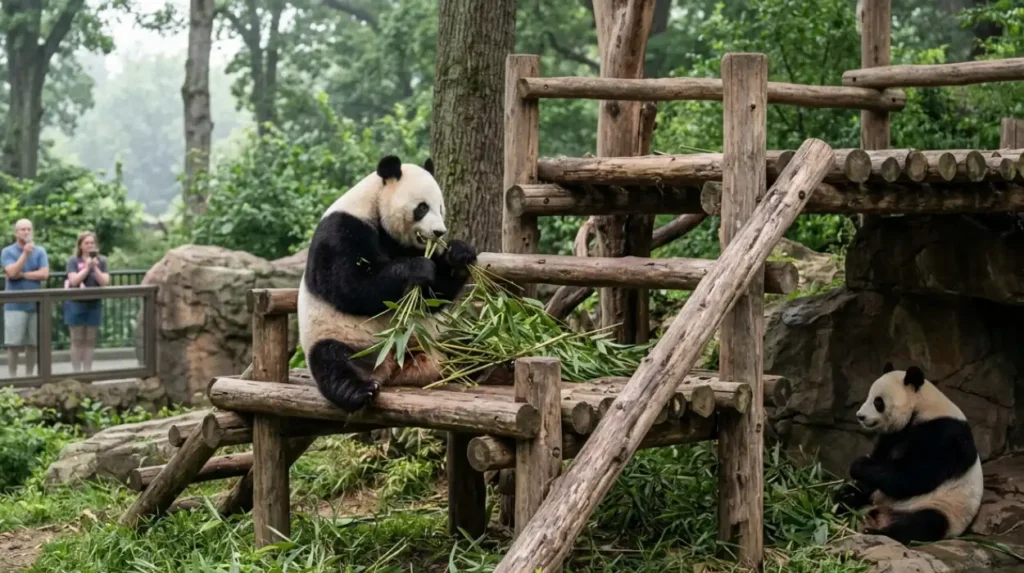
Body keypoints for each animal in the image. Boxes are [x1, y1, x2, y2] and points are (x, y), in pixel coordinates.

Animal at [297, 155, 477, 413]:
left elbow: (432, 296)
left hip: (437, 336)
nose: (439, 232)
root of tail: (394, 366)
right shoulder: (341, 230)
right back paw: (359, 391)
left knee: (467, 341)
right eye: (422, 207)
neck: (375, 206)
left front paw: (459, 254)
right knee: (332, 362)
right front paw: (418, 268)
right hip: (342, 338)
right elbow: (351, 287)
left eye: (441, 208)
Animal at [836, 362, 984, 545]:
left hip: (944, 509)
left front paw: (859, 463)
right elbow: (881, 464)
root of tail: (883, 512)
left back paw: (877, 532)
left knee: (924, 524)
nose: (860, 416)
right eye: (868, 396)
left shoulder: (945, 435)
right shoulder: (894, 435)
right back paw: (843, 501)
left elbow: (914, 476)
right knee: (855, 498)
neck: (922, 407)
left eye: (878, 402)